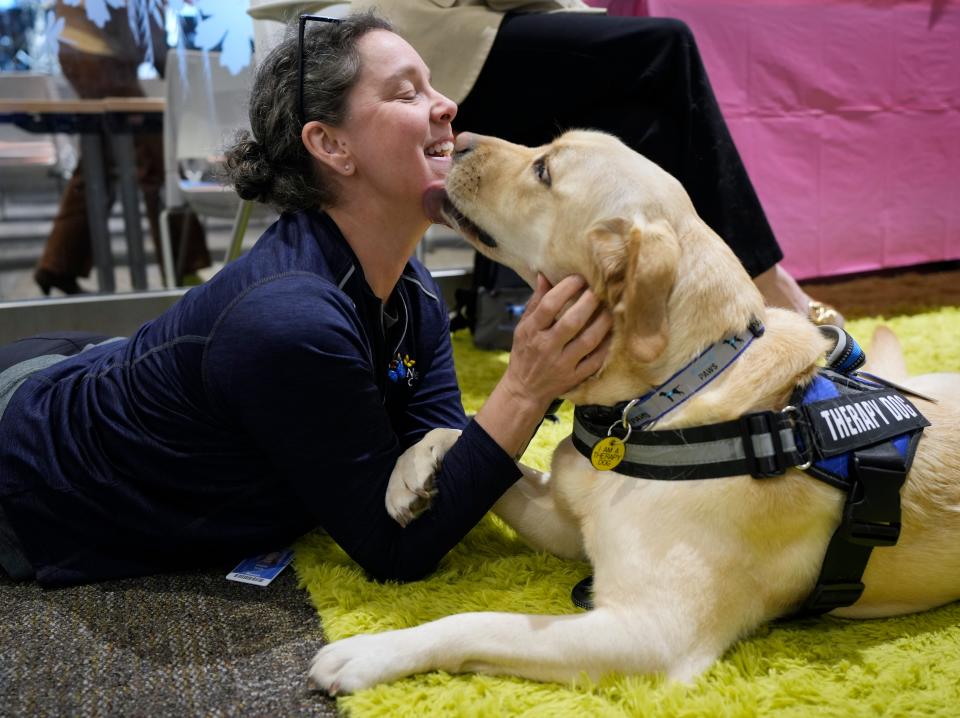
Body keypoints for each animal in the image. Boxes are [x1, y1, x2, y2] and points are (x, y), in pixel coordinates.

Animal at [312, 131, 960, 696]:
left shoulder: (649, 632)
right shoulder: (563, 521)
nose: (457, 138)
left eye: (543, 170)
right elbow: (470, 439)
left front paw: (370, 651)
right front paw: (409, 476)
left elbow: (476, 622)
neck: (668, 394)